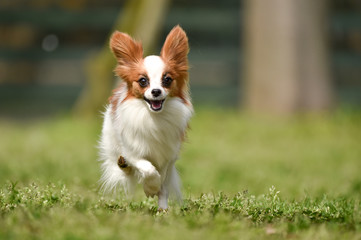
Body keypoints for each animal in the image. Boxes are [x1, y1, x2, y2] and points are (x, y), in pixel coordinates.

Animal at [98, 25, 193, 210]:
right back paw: (124, 165)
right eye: (143, 81)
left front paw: (159, 201)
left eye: (167, 79)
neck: (153, 117)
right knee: (124, 165)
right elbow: (148, 170)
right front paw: (150, 188)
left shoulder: (167, 159)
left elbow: (162, 184)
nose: (156, 91)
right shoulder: (133, 152)